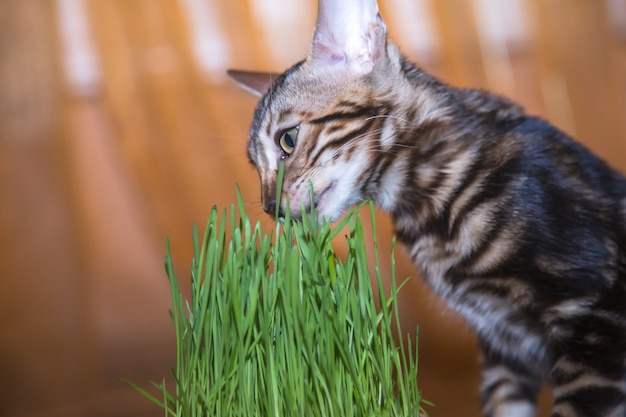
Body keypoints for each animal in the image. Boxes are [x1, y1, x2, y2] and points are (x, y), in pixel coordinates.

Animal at [228, 0, 624, 416]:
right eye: (255, 167)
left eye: (287, 140)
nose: (270, 206)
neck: (422, 207)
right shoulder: (503, 349)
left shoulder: (593, 316)